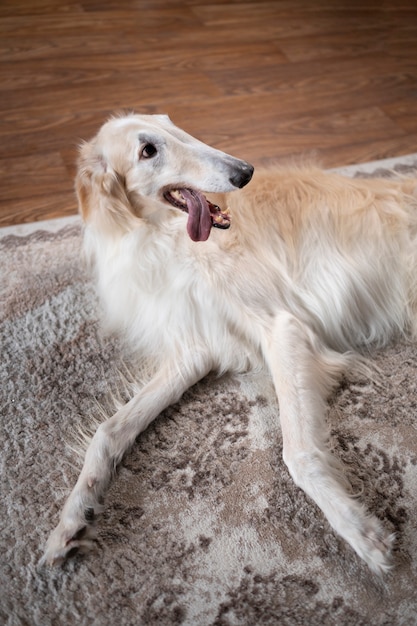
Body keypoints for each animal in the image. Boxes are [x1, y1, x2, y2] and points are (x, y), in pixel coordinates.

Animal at [42, 111, 416, 572]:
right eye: (147, 150)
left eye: (174, 126)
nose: (245, 171)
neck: (162, 240)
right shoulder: (197, 345)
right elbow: (108, 431)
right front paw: (72, 520)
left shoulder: (282, 326)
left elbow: (298, 454)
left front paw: (357, 529)